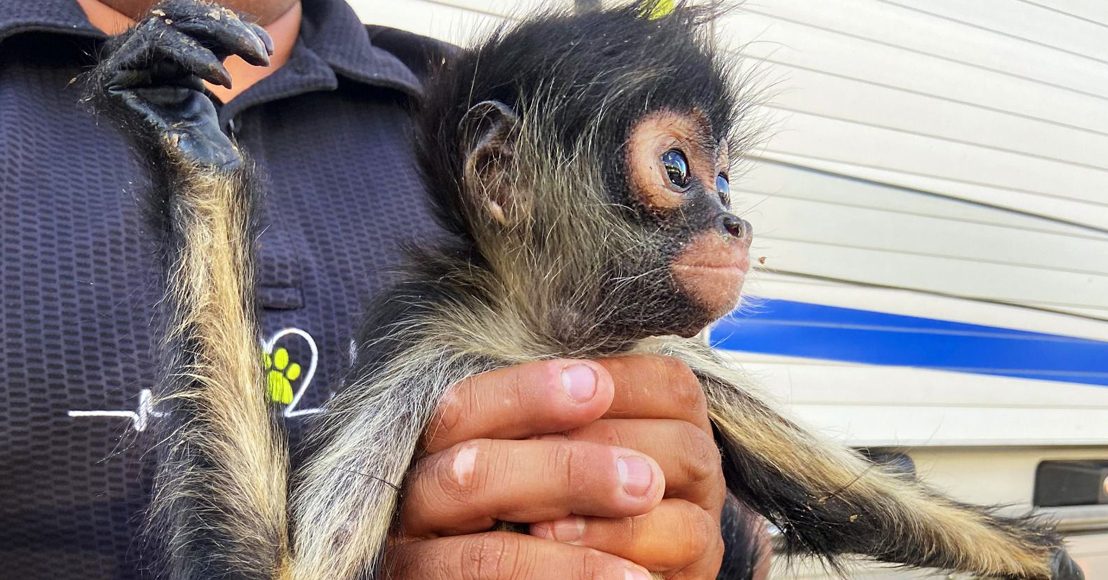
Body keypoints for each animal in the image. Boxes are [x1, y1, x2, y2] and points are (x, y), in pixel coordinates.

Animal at [82, 0, 1085, 579]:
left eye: (727, 181)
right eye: (680, 169)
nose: (735, 226)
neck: (548, 340)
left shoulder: (673, 355)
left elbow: (858, 498)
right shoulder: (432, 350)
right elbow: (282, 570)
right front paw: (191, 141)